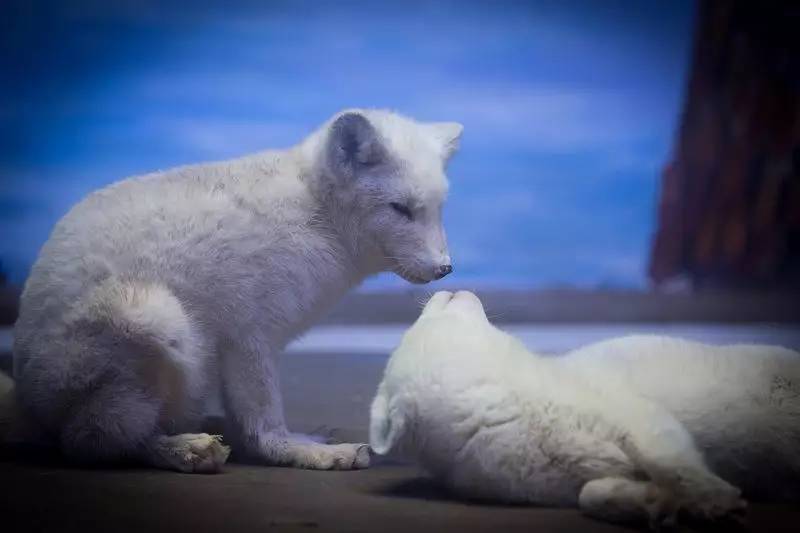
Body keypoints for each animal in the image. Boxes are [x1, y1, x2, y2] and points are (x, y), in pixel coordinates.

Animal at [10, 108, 462, 470]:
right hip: (158, 319)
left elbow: (252, 423)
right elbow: (264, 424)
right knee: (93, 442)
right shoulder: (248, 337)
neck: (316, 215)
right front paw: (303, 452)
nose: (445, 269)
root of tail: (26, 405)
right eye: (400, 209)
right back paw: (182, 449)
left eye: (438, 208)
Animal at [370, 290, 800, 528]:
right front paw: (650, 503)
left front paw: (715, 501)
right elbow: (588, 494)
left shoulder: (625, 407)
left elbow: (665, 446)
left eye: (431, 308)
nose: (447, 284)